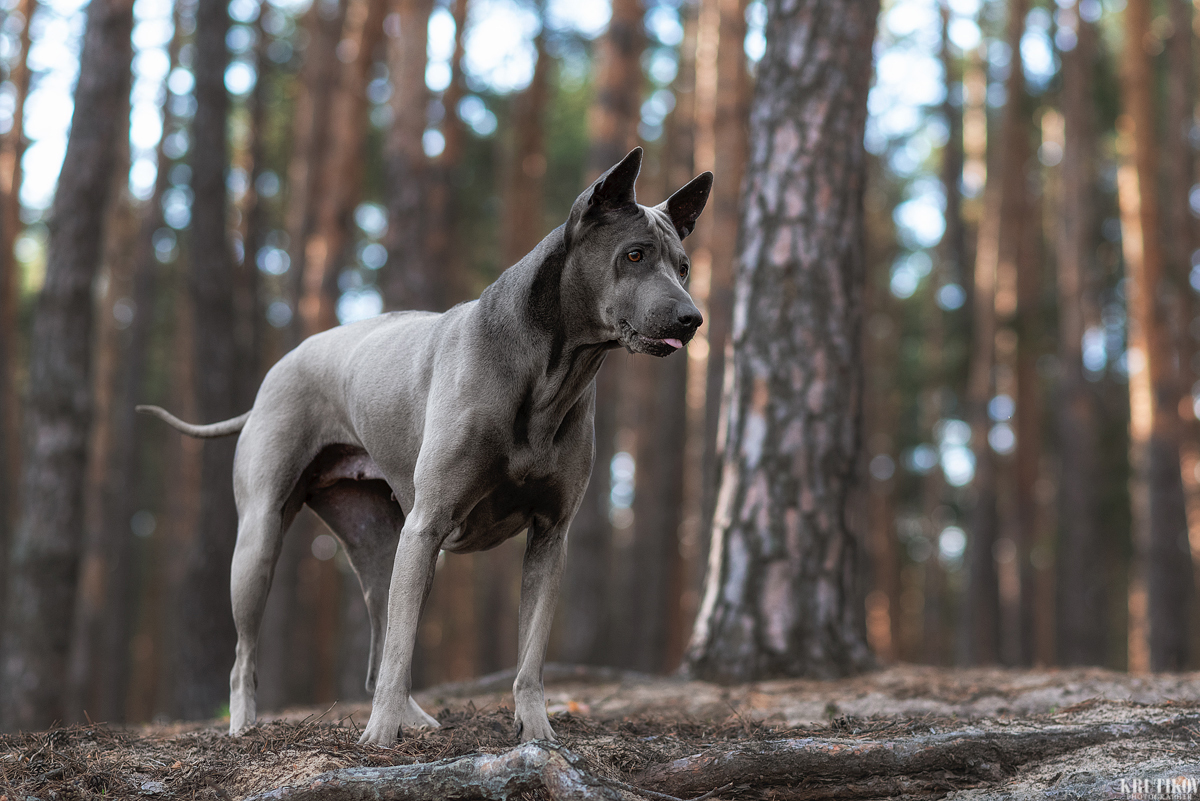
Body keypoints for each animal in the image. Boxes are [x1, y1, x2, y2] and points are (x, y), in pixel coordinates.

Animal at [136, 148, 705, 743]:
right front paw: (379, 738)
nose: (692, 318)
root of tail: (276, 371)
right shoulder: (429, 522)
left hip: (383, 546)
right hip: (263, 540)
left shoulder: (551, 536)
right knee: (254, 651)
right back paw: (249, 726)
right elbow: (403, 647)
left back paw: (415, 720)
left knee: (381, 642)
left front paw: (537, 733)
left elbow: (528, 657)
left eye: (683, 266)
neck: (549, 374)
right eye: (634, 255)